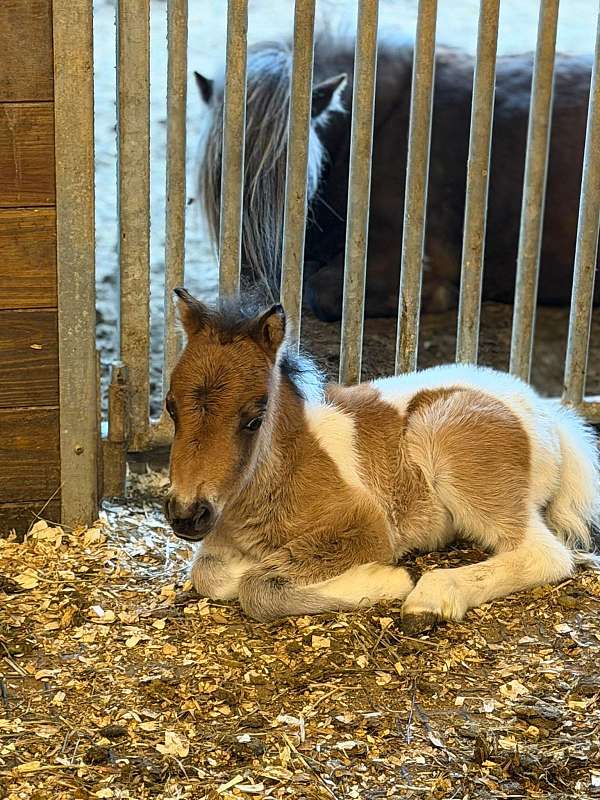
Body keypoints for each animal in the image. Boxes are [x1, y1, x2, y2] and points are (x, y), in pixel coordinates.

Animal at [164, 289, 600, 626]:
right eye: (170, 408)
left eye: (254, 419)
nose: (186, 514)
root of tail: (548, 415)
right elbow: (208, 571)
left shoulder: (365, 525)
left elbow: (258, 586)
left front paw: (386, 578)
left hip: (453, 452)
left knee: (545, 554)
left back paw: (430, 598)